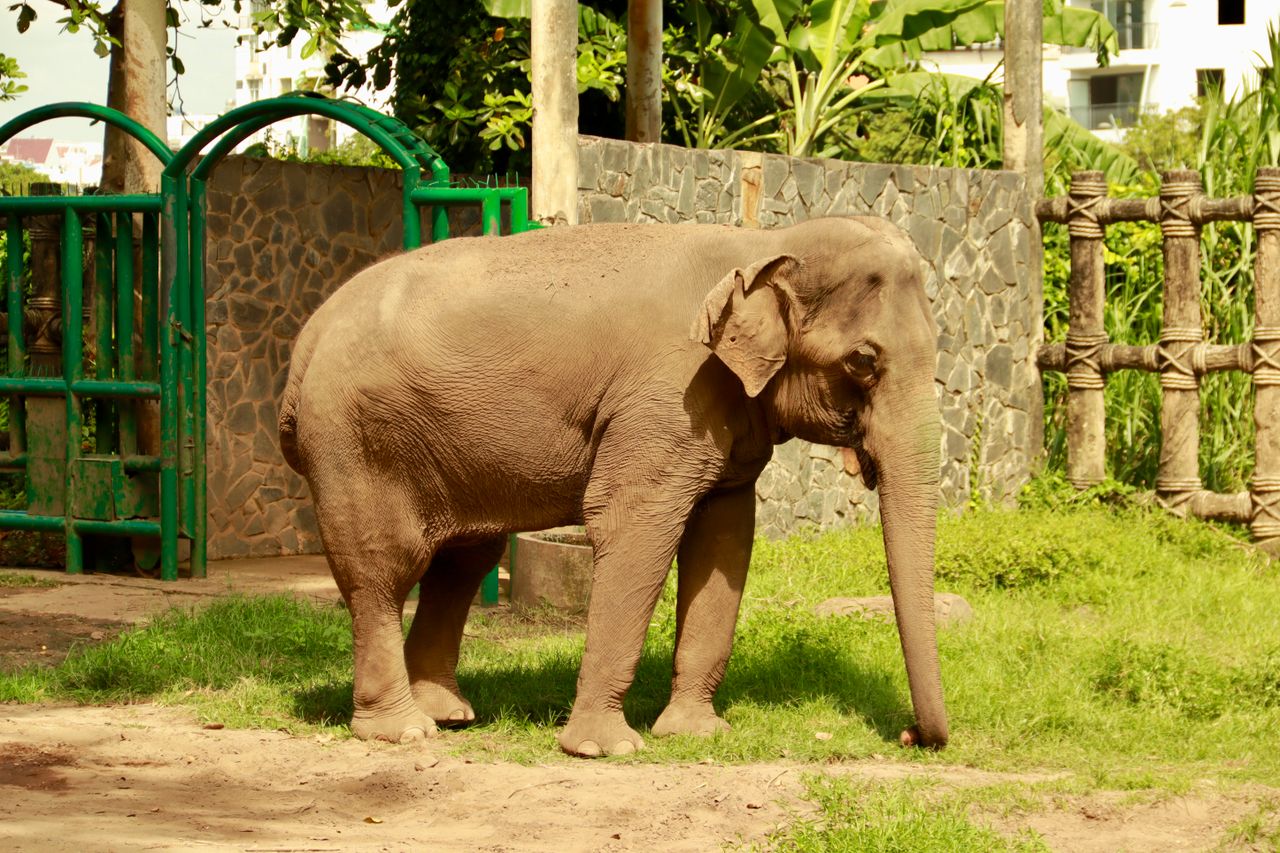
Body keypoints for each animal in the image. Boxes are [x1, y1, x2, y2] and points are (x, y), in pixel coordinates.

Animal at [278, 216, 948, 756]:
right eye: (864, 361)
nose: (911, 736)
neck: (763, 242)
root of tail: (306, 339)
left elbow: (724, 539)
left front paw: (697, 735)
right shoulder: (668, 396)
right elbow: (634, 528)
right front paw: (607, 749)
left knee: (464, 560)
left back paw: (449, 716)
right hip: (354, 440)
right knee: (384, 567)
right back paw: (404, 731)